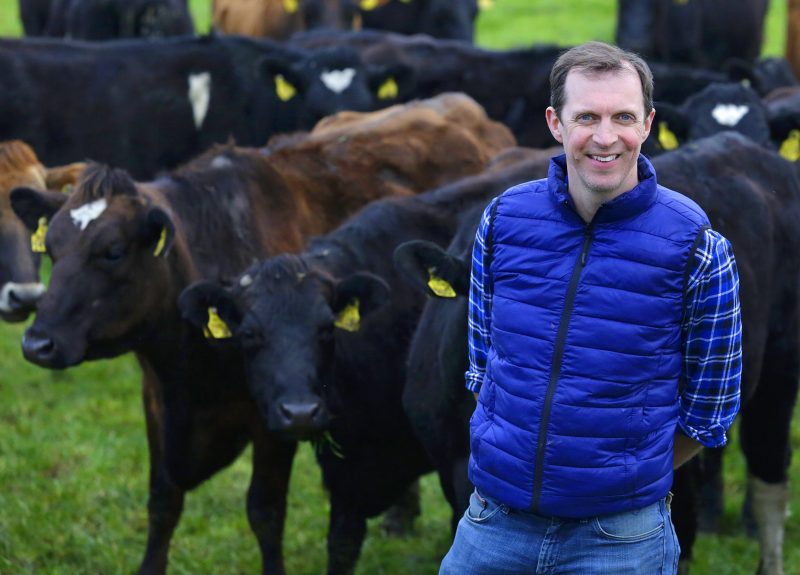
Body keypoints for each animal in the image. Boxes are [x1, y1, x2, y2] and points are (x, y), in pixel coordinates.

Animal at [10, 93, 515, 575]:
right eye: (50, 248)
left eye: (112, 251)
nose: (38, 344)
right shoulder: (157, 401)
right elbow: (163, 501)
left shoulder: (274, 418)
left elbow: (264, 511)